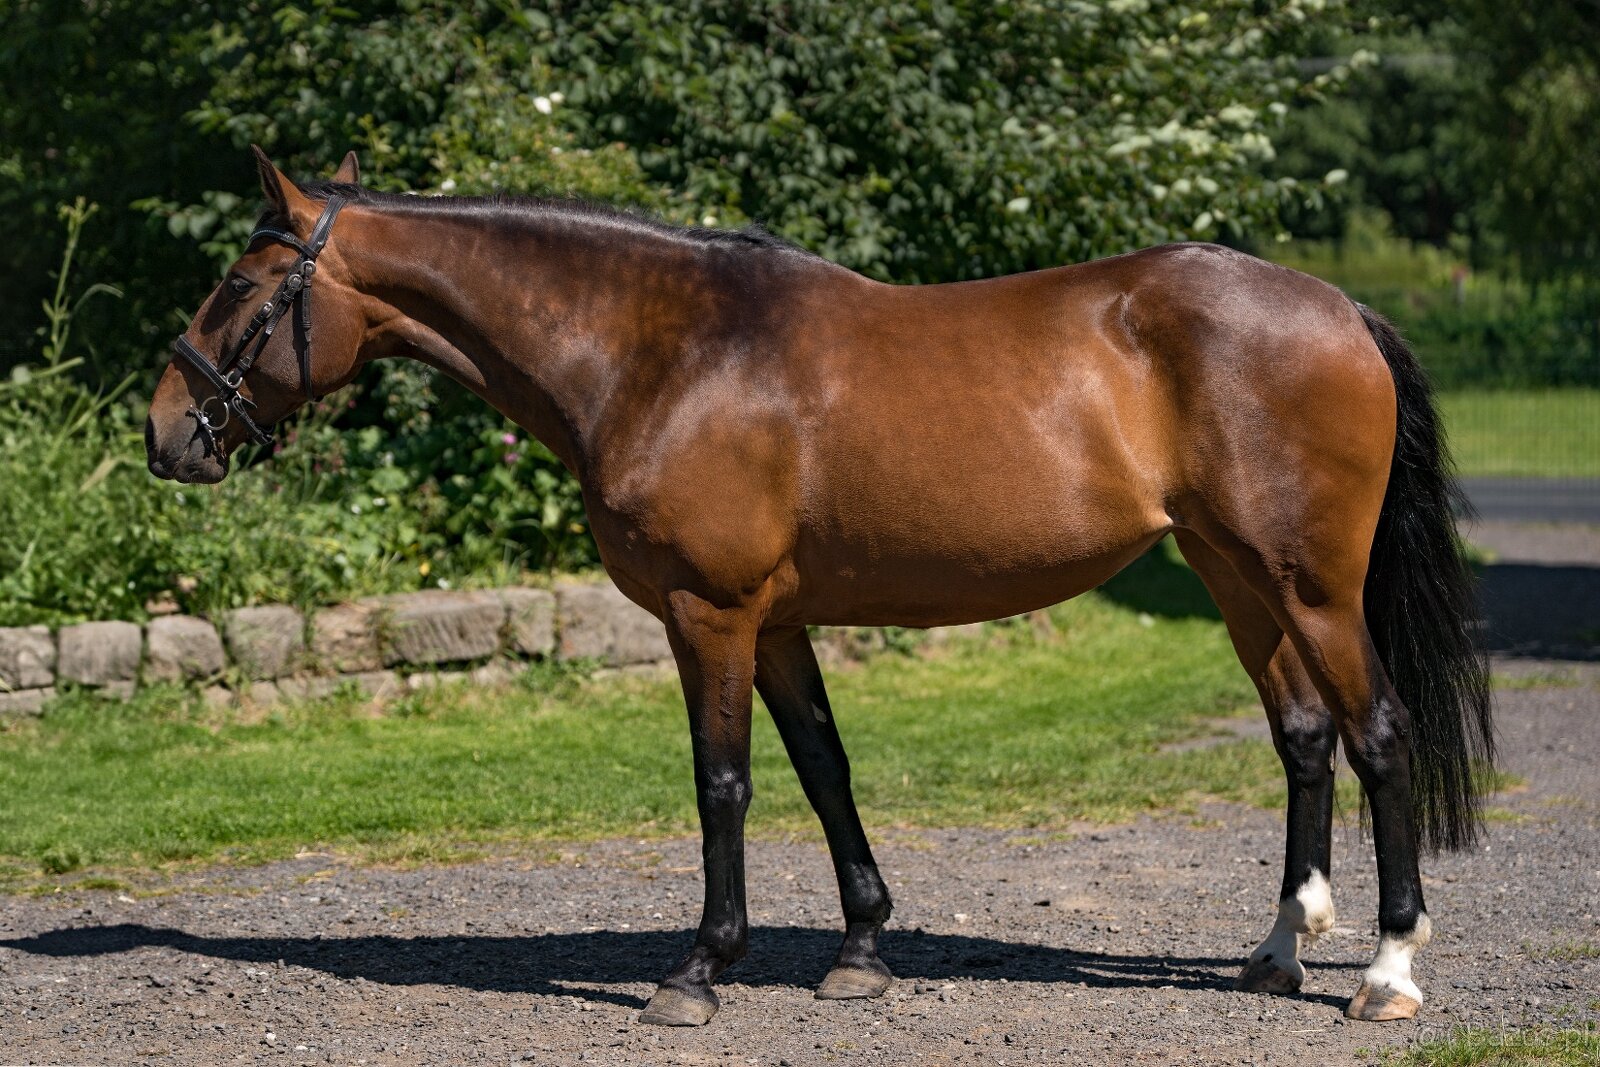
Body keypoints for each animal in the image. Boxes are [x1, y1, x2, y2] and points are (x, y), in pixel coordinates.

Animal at [145, 148, 1493, 1027]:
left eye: (239, 287)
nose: (164, 434)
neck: (664, 350)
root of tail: (1338, 306)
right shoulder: (780, 620)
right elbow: (825, 770)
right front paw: (859, 950)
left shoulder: (711, 613)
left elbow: (725, 783)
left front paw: (698, 970)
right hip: (1234, 574)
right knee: (1303, 734)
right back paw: (1275, 951)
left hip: (1311, 584)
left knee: (1377, 735)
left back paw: (1385, 973)